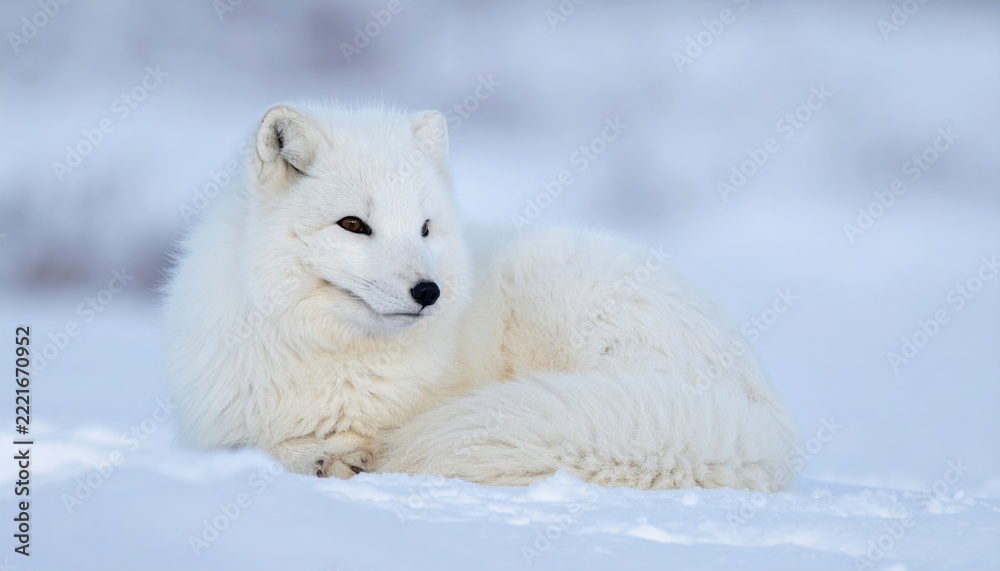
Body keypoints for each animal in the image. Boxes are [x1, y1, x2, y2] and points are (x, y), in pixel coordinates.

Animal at [162, 102, 798, 491]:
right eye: (353, 225)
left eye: (424, 228)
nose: (429, 291)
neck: (331, 360)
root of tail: (764, 423)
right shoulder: (218, 429)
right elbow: (254, 446)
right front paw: (321, 455)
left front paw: (336, 456)